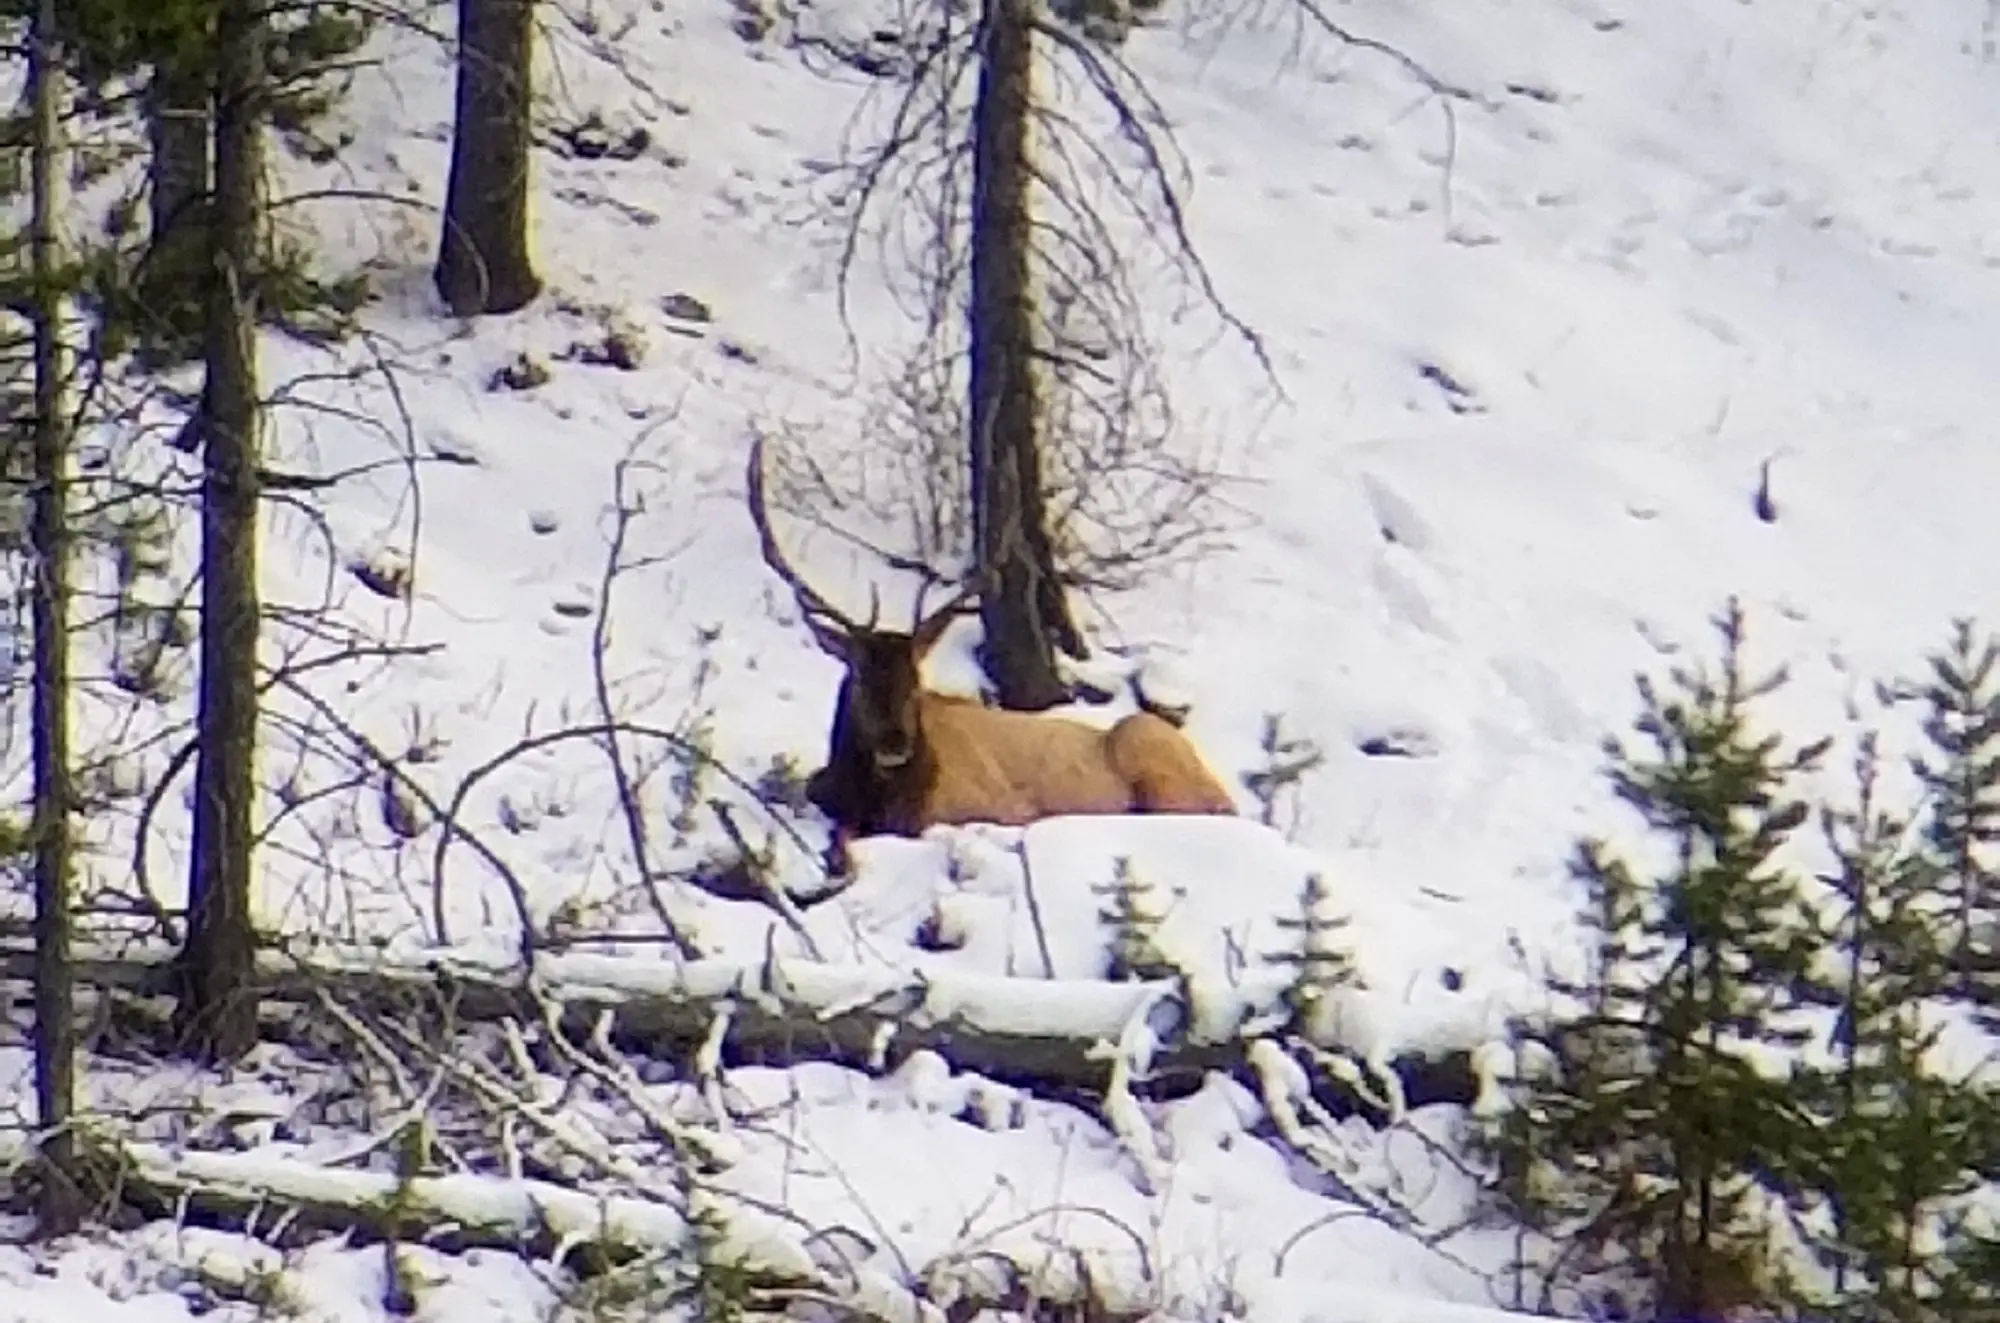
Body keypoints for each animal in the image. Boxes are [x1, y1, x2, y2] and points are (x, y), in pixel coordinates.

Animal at [744, 435, 1232, 875]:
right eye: (860, 676)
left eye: (916, 682)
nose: (895, 742)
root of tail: (1224, 794)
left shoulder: (995, 808)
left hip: (1150, 749)